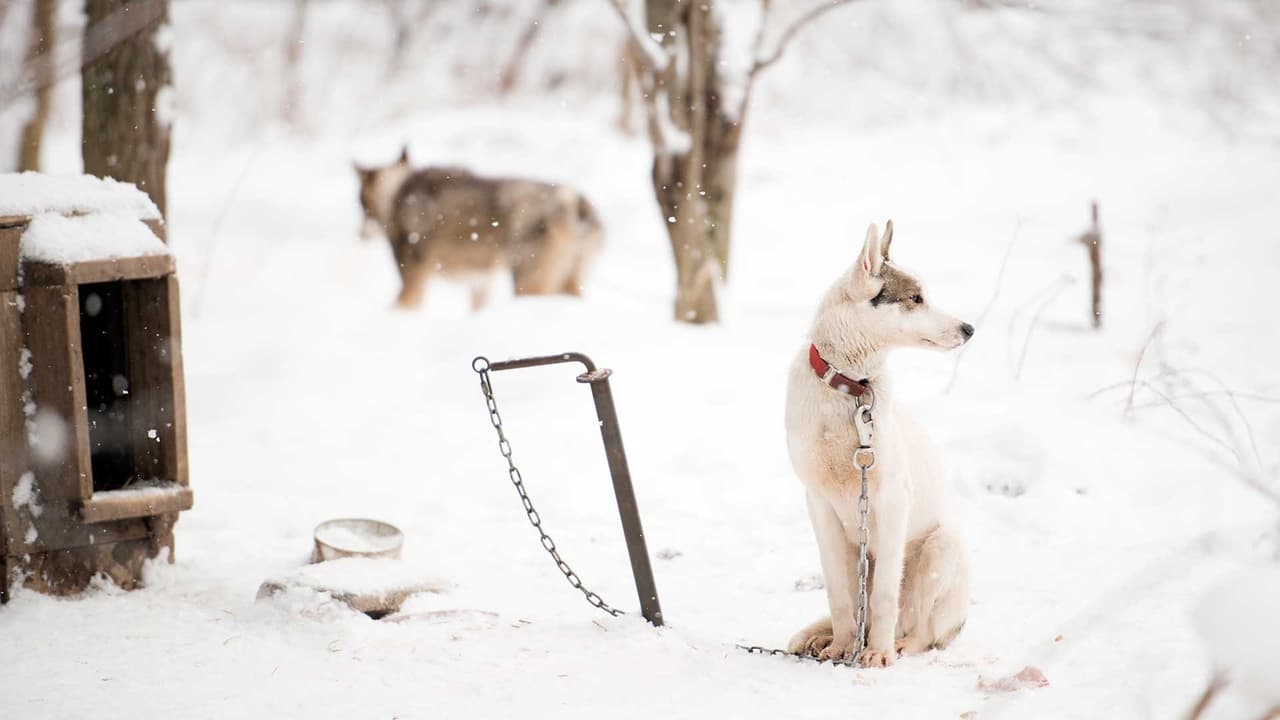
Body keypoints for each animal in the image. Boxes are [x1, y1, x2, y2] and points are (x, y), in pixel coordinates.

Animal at [783, 220, 972, 666]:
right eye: (915, 298)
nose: (969, 329)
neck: (849, 388)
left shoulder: (891, 502)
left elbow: (884, 595)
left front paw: (879, 655)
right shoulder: (818, 504)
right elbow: (838, 595)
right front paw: (839, 647)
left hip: (941, 548)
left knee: (920, 629)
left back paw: (895, 644)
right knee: (858, 611)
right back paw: (821, 639)